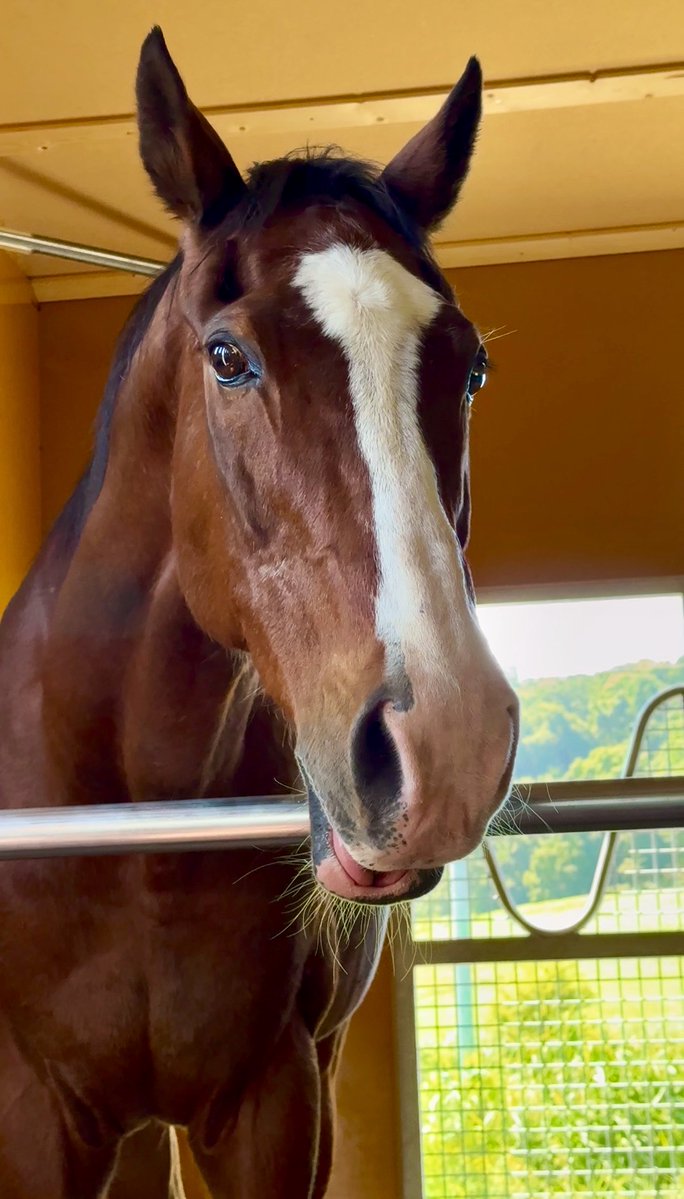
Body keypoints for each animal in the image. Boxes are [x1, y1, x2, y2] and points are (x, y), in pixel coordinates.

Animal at [0, 27, 518, 1199]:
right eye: (228, 357)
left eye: (471, 367)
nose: (447, 741)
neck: (132, 829)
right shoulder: (36, 1115)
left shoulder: (276, 1101)